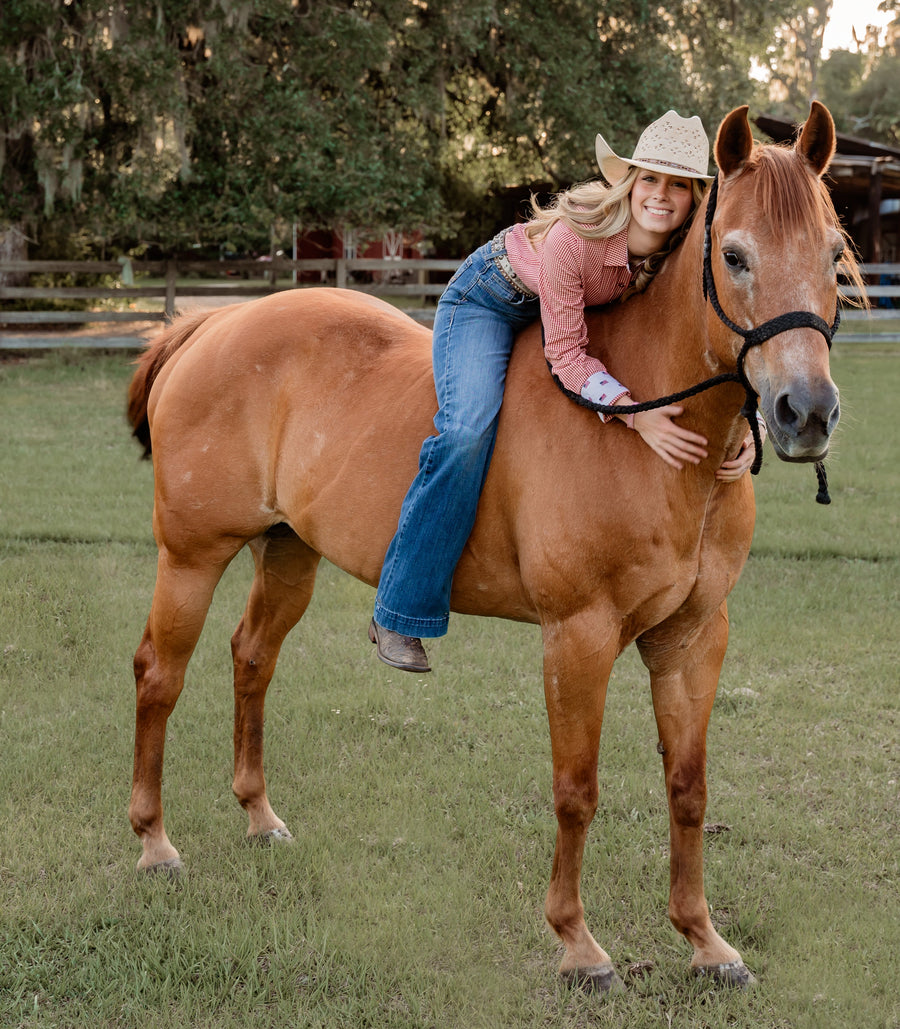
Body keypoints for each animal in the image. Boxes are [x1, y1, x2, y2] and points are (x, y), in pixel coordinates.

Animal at [126, 102, 857, 991]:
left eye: (833, 255)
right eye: (735, 255)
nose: (805, 411)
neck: (649, 433)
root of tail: (211, 324)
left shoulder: (691, 639)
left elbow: (688, 787)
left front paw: (703, 939)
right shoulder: (579, 637)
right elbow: (577, 789)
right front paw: (577, 942)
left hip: (288, 552)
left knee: (251, 659)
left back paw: (259, 816)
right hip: (191, 557)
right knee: (159, 675)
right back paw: (154, 842)